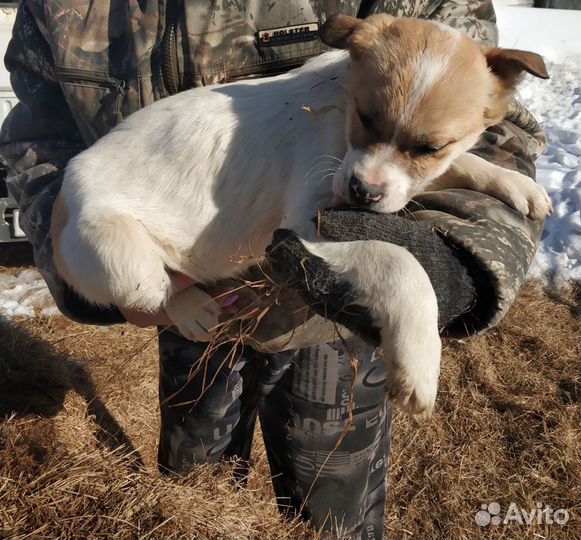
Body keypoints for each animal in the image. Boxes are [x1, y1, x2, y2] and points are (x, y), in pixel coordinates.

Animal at [49, 13, 548, 418]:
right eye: (365, 117)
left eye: (429, 147)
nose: (362, 192)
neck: (337, 109)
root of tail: (58, 208)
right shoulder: (311, 218)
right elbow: (400, 261)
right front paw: (420, 361)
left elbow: (464, 163)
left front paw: (520, 187)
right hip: (126, 262)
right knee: (156, 289)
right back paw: (191, 308)